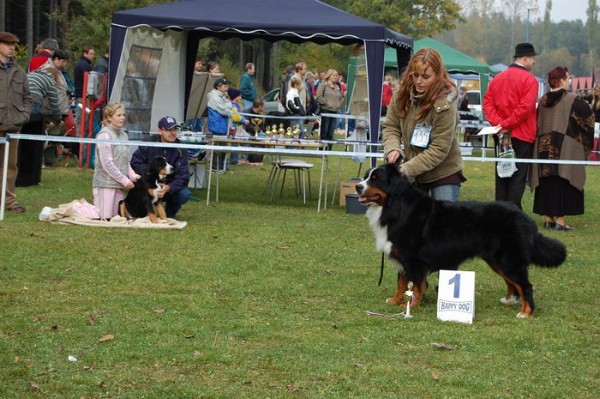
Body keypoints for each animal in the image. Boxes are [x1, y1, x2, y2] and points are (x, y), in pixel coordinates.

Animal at [356, 163, 568, 318]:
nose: (358, 186)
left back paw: (526, 312)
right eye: (366, 176)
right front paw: (396, 300)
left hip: (507, 259)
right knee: (512, 283)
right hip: (497, 261)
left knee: (525, 285)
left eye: (376, 179)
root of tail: (523, 216)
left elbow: (416, 285)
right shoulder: (402, 257)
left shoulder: (412, 259)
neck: (396, 206)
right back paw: (509, 300)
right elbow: (401, 283)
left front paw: (412, 305)